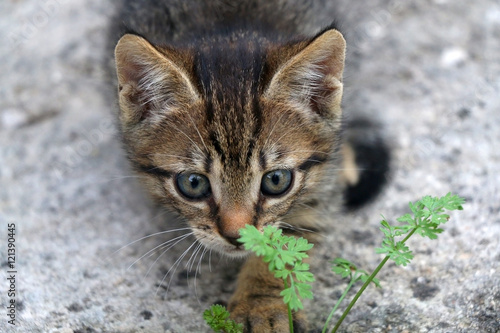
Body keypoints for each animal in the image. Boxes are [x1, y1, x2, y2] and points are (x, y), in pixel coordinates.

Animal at [110, 1, 390, 330]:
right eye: (193, 183)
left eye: (276, 180)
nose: (235, 235)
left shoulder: (322, 180)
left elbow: (286, 242)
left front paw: (262, 306)